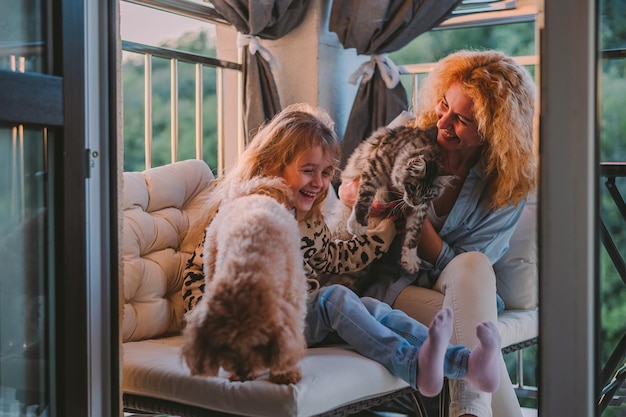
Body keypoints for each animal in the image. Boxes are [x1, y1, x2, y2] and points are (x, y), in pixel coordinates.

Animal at [338, 123, 450, 272]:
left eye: (428, 194)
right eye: (413, 187)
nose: (415, 202)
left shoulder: (422, 208)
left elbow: (415, 230)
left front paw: (410, 258)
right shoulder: (375, 166)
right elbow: (366, 194)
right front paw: (358, 223)